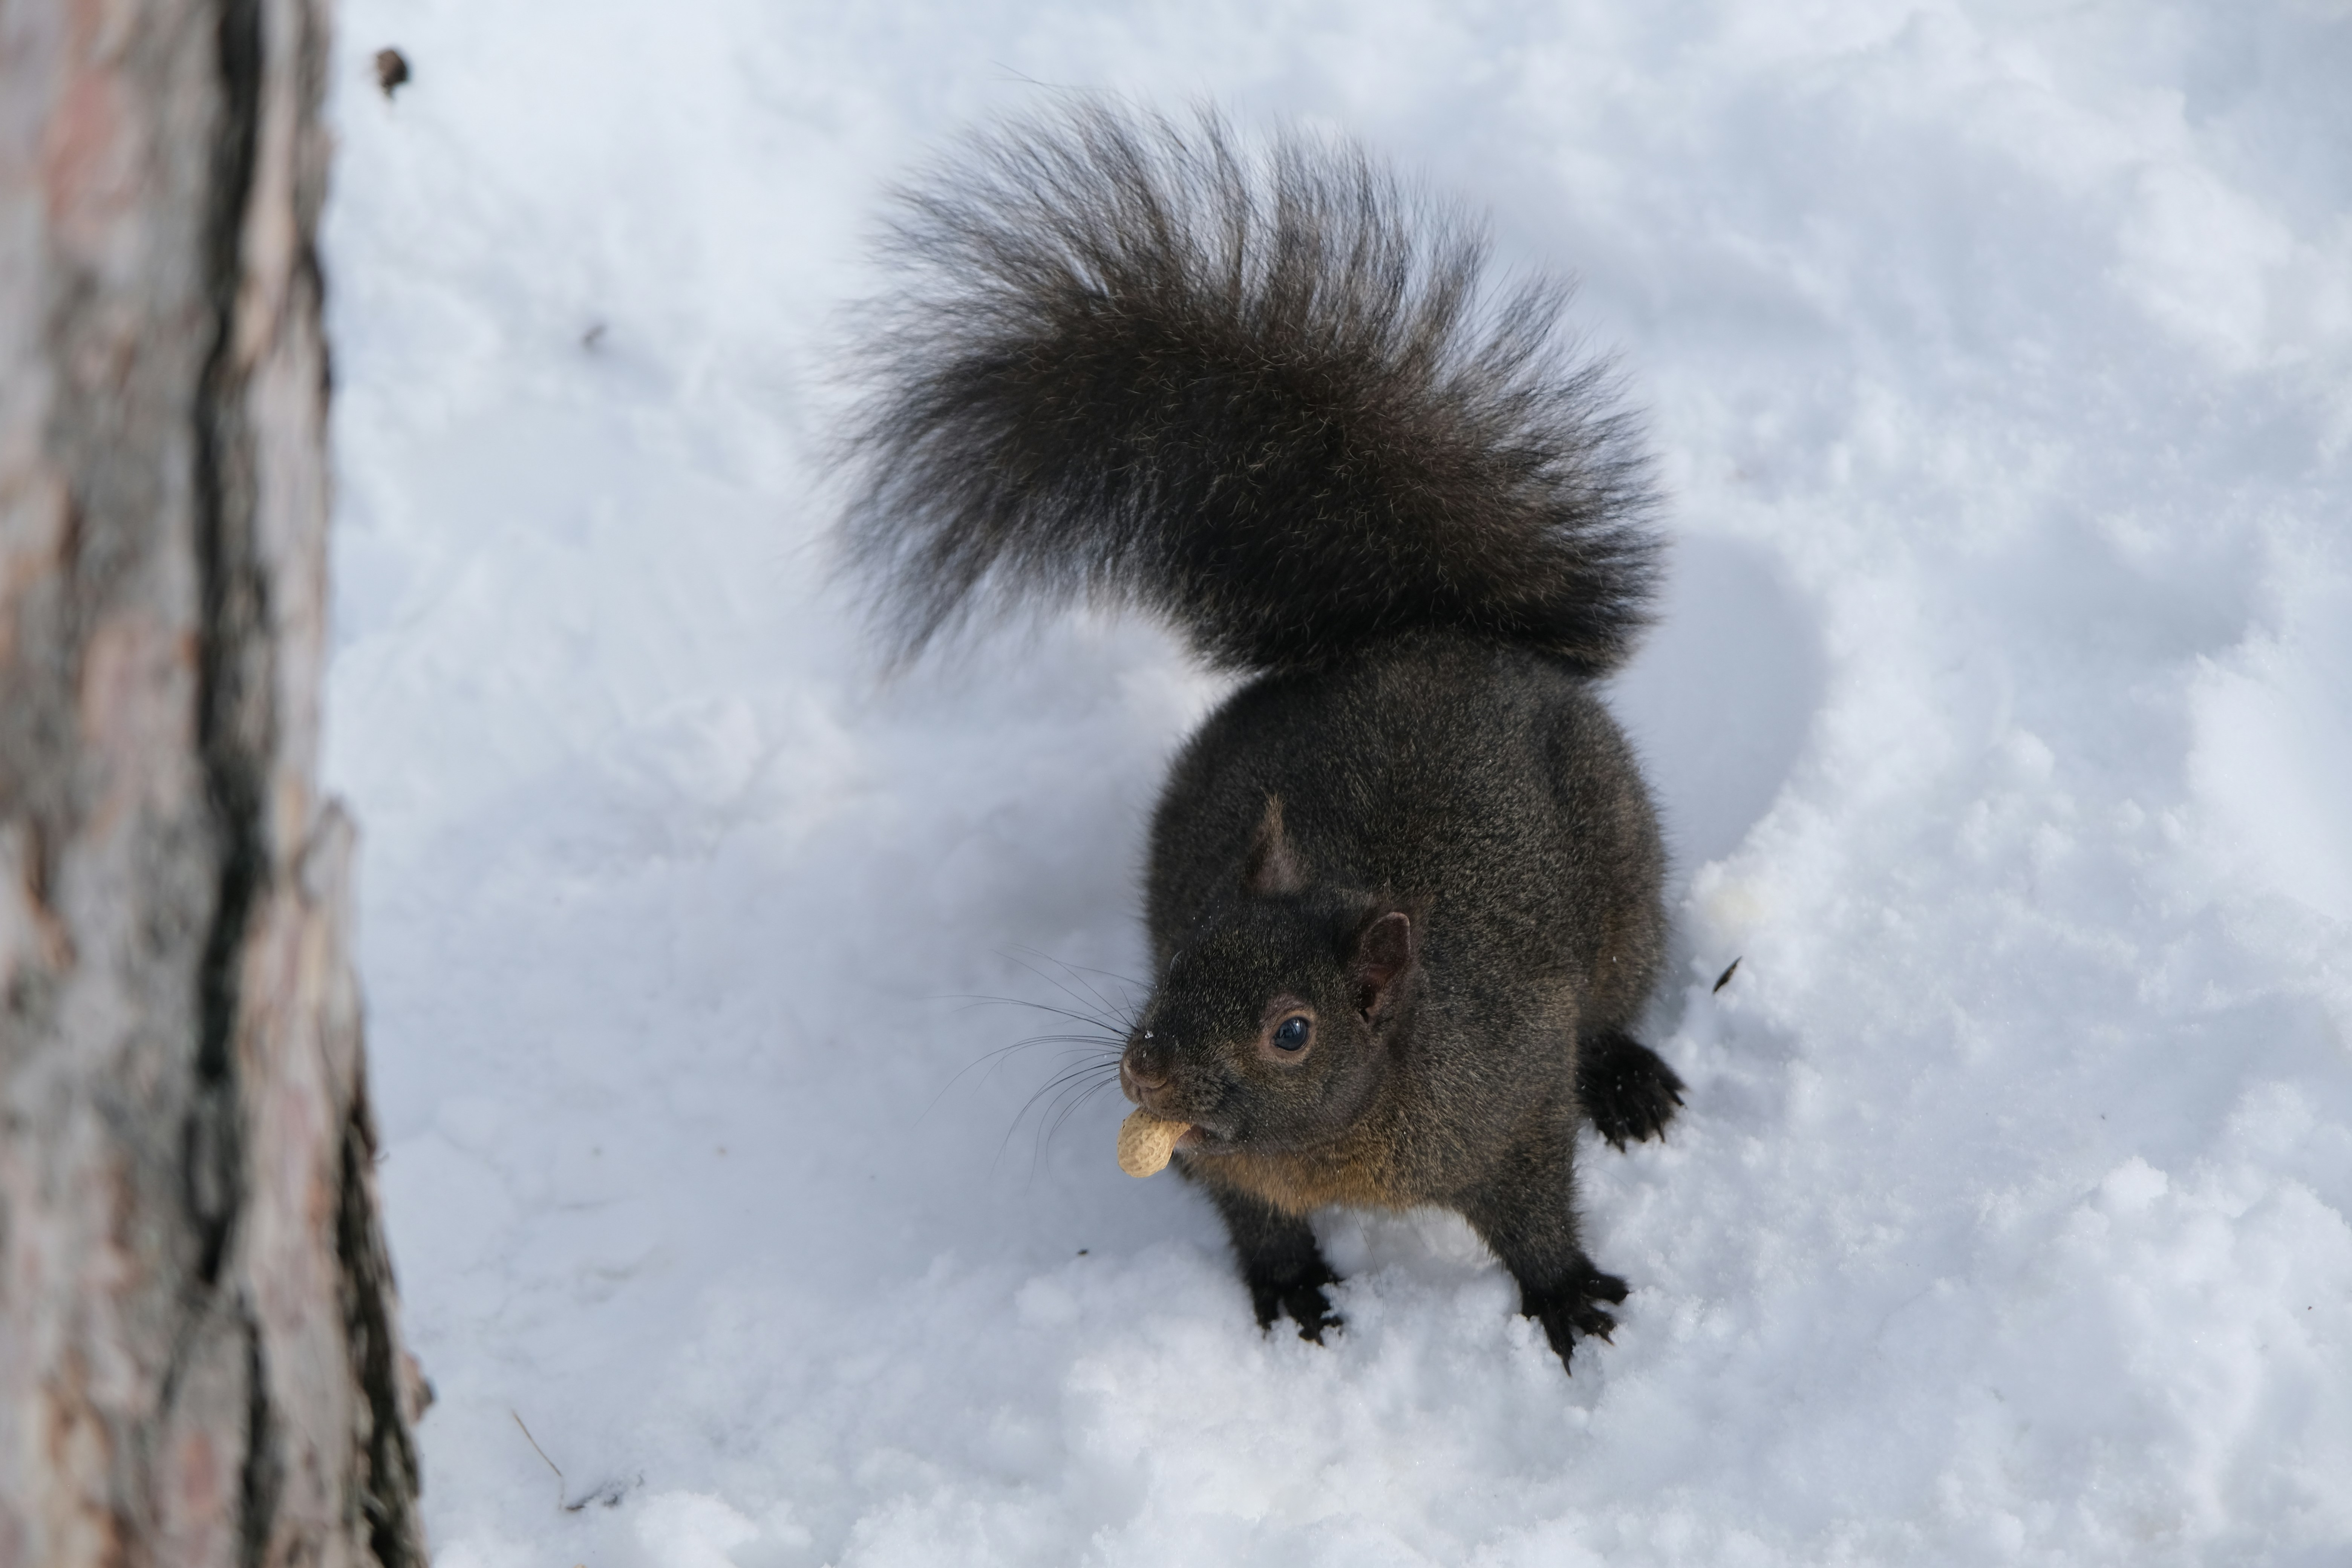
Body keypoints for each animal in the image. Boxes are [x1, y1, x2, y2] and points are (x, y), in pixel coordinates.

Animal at [838, 105, 1686, 1372]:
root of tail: (1415, 630)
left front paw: (1567, 1295)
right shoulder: (1220, 1161)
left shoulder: (1511, 1100)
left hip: (1624, 890)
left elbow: (1535, 1207)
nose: (1145, 1065)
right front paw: (1291, 1292)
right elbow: (1255, 1222)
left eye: (1293, 1031)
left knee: (1622, 997)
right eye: (1182, 958)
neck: (1337, 1135)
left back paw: (1630, 1078)